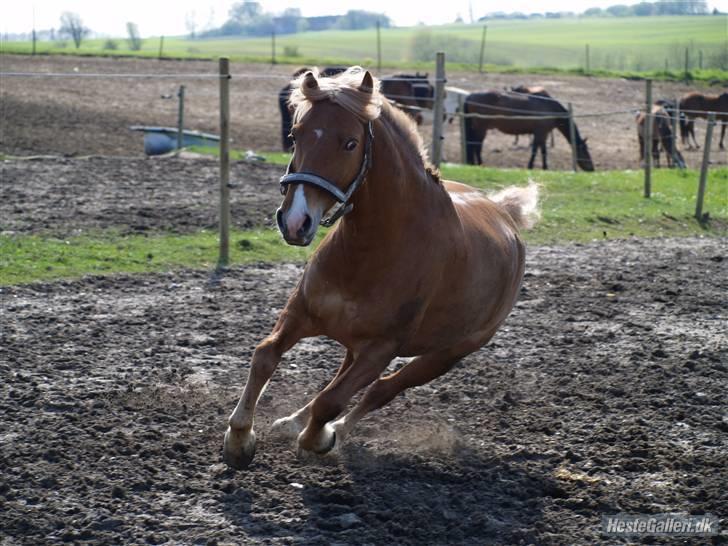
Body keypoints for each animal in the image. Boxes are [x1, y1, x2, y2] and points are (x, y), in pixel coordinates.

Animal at [223, 67, 541, 470]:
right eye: (295, 136)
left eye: (350, 143)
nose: (295, 222)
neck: (374, 248)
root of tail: (505, 214)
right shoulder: (300, 312)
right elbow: (265, 357)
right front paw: (239, 439)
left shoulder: (382, 349)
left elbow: (334, 400)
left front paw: (317, 440)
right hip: (357, 341)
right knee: (344, 374)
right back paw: (291, 421)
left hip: (447, 354)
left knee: (381, 390)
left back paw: (334, 433)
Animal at [463, 91, 594, 171]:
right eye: (585, 152)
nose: (592, 169)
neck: (549, 107)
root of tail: (470, 96)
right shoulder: (540, 133)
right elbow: (535, 150)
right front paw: (531, 166)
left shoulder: (543, 134)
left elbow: (543, 151)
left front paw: (545, 167)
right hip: (481, 128)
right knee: (477, 145)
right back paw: (480, 164)